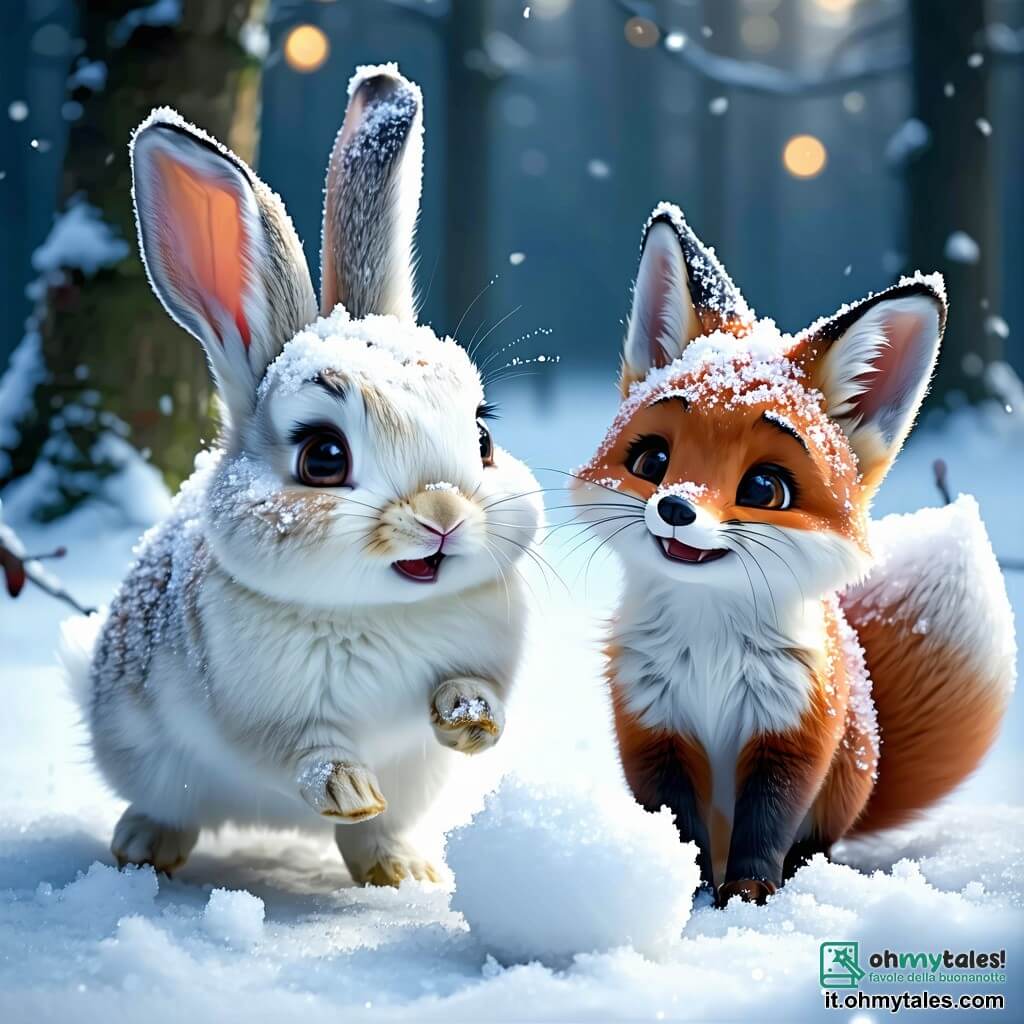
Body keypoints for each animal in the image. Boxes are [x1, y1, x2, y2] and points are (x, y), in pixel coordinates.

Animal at [572, 202, 1016, 907]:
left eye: (763, 489)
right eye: (652, 462)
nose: (675, 509)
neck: (710, 651)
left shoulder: (794, 731)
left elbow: (767, 826)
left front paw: (750, 896)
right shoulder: (651, 729)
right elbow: (681, 827)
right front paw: (692, 891)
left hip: (846, 768)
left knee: (815, 841)